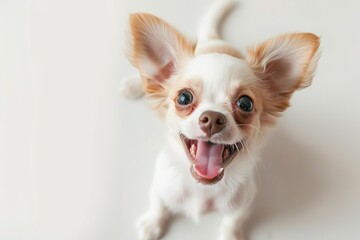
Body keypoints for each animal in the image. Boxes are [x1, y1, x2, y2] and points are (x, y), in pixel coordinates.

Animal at [121, 0, 320, 240]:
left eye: (245, 104)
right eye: (184, 97)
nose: (213, 118)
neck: (202, 189)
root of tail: (215, 41)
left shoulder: (245, 201)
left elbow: (234, 220)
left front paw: (231, 235)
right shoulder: (161, 185)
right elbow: (158, 204)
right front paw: (152, 223)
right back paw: (132, 86)